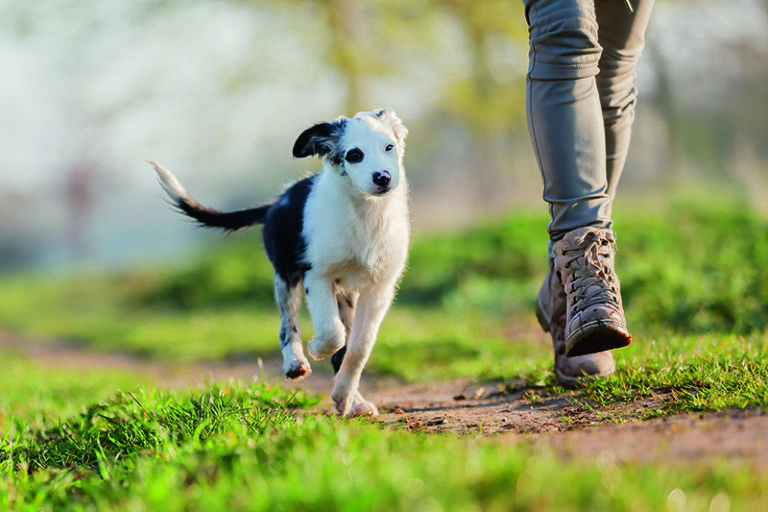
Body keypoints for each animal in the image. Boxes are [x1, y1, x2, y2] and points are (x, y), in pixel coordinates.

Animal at [152, 109, 412, 416]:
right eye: (354, 155)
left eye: (389, 147)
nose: (382, 177)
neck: (366, 214)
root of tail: (275, 203)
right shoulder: (317, 275)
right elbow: (332, 332)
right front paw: (317, 348)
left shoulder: (379, 289)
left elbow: (358, 349)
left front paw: (343, 395)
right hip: (285, 277)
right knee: (287, 325)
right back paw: (295, 362)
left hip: (344, 294)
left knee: (343, 349)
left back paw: (354, 401)